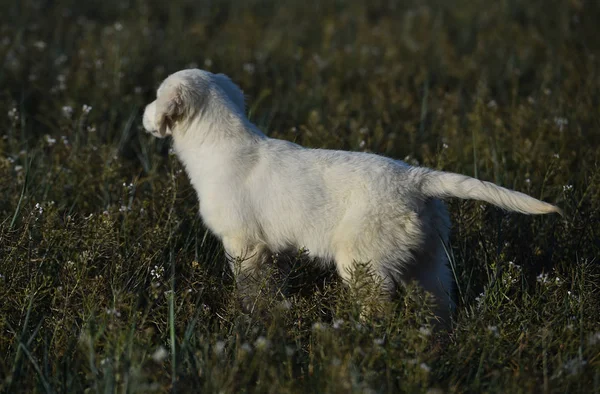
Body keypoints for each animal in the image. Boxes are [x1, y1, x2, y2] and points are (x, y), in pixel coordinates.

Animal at [142, 67, 564, 320]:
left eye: (156, 95)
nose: (143, 115)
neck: (222, 141)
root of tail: (416, 178)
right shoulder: (275, 249)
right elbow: (272, 287)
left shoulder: (244, 244)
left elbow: (250, 287)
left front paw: (250, 318)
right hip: (427, 260)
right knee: (438, 304)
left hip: (363, 259)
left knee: (378, 310)